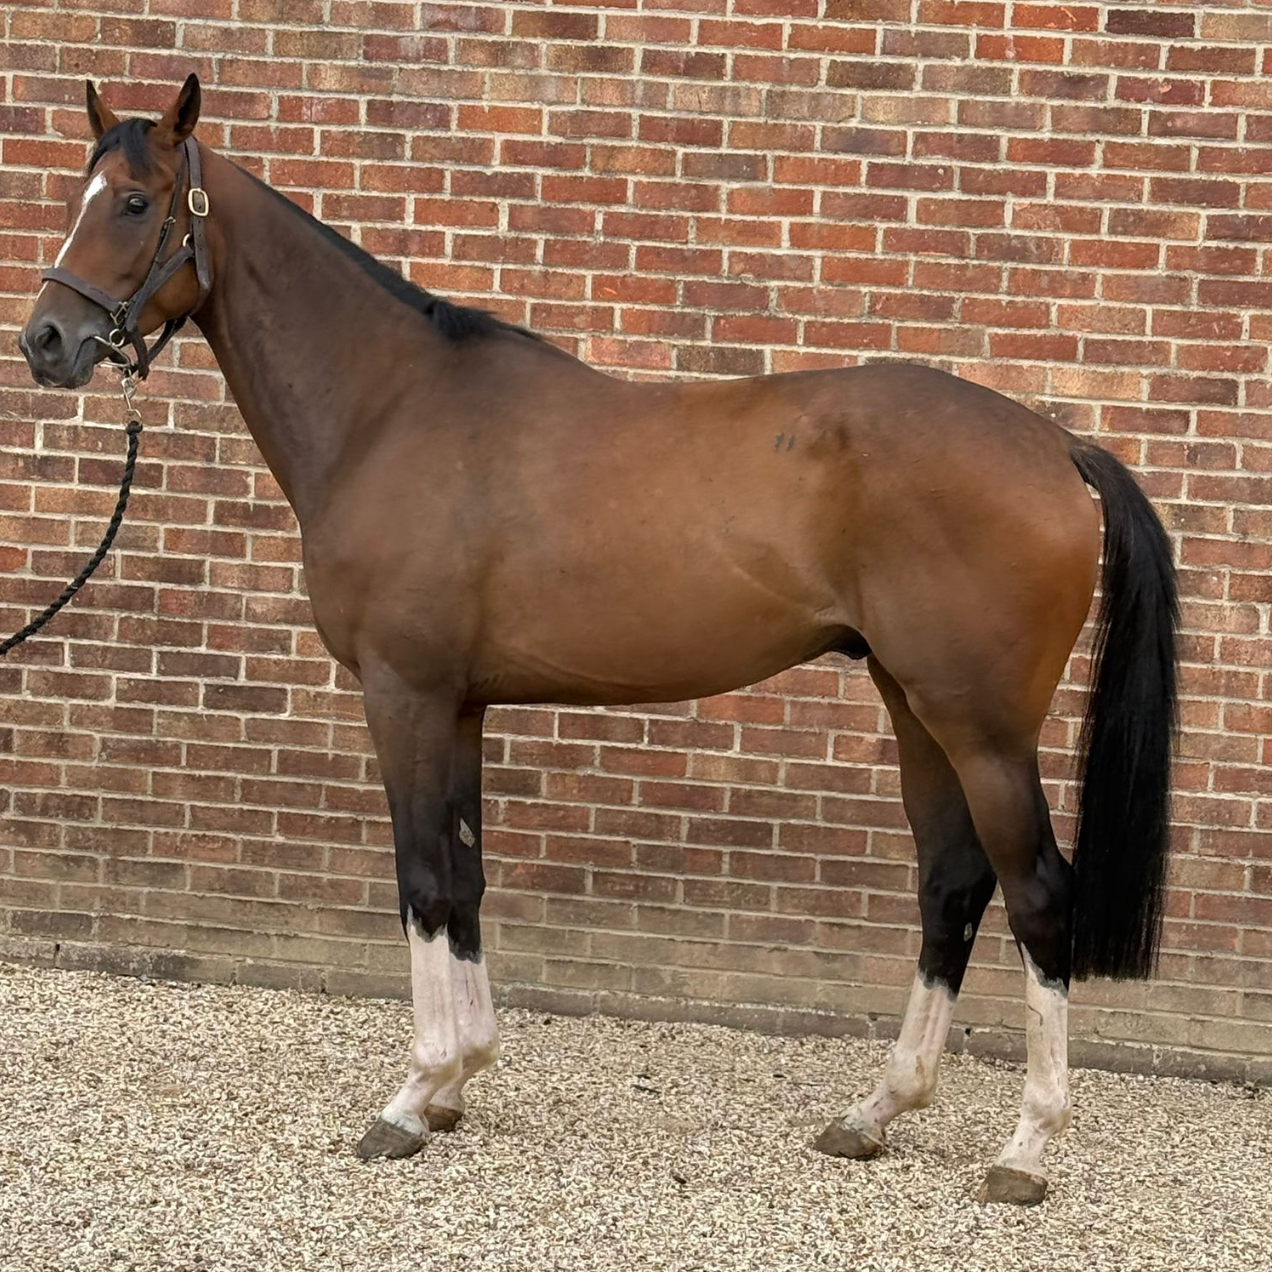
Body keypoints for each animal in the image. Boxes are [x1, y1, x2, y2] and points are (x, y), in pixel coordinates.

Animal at [18, 76, 1178, 1206]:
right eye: (81, 194)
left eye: (135, 203)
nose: (45, 341)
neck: (390, 411)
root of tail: (1054, 444)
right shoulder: (461, 704)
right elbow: (467, 879)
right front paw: (461, 1082)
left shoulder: (404, 693)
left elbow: (422, 878)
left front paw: (413, 1095)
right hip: (914, 704)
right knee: (950, 885)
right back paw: (875, 1113)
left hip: (982, 728)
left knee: (1039, 897)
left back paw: (1025, 1150)